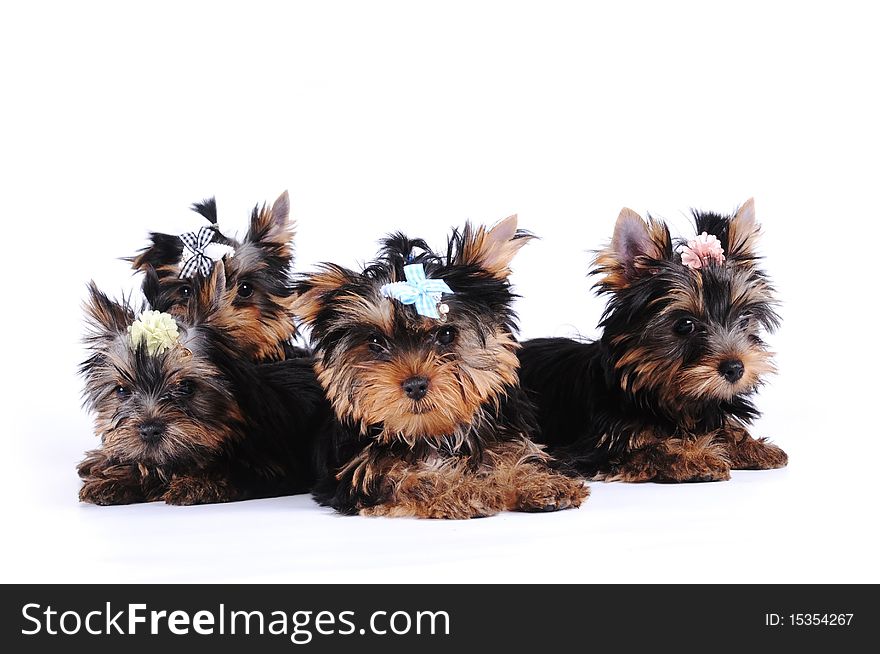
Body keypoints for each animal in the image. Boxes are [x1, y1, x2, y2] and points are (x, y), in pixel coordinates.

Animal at [78, 264, 326, 504]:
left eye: (186, 387)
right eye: (122, 391)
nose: (149, 430)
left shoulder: (270, 465)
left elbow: (227, 472)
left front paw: (194, 483)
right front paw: (114, 479)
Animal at [296, 218, 592, 520]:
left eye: (447, 334)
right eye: (376, 342)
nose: (415, 385)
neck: (435, 434)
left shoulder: (504, 435)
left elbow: (515, 454)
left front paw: (539, 482)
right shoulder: (362, 471)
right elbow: (409, 477)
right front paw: (466, 490)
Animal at [520, 202, 788, 484]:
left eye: (745, 317)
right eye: (685, 325)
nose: (735, 368)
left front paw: (751, 446)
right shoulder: (593, 448)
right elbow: (649, 447)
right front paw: (693, 456)